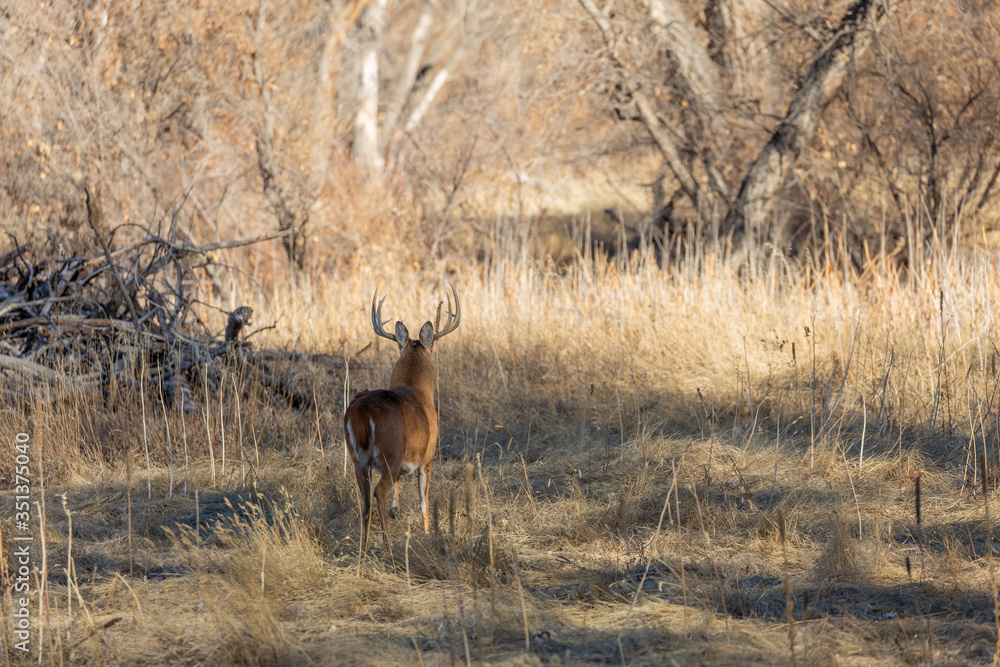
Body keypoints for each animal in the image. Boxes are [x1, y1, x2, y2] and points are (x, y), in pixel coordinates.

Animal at [344, 284, 461, 552]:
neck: (415, 388)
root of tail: (364, 412)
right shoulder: (427, 457)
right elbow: (423, 500)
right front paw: (428, 533)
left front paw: (396, 511)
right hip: (390, 452)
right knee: (378, 492)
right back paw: (387, 545)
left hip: (358, 460)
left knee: (365, 500)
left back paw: (365, 546)